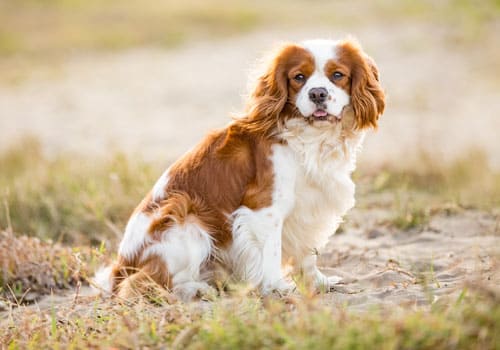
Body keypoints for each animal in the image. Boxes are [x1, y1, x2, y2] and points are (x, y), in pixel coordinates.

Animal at [96, 37, 386, 300]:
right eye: (299, 77)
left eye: (337, 75)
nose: (317, 94)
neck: (310, 139)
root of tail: (120, 266)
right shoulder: (265, 209)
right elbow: (272, 252)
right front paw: (278, 287)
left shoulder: (311, 206)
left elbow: (307, 253)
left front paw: (318, 282)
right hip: (186, 218)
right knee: (142, 283)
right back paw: (195, 289)